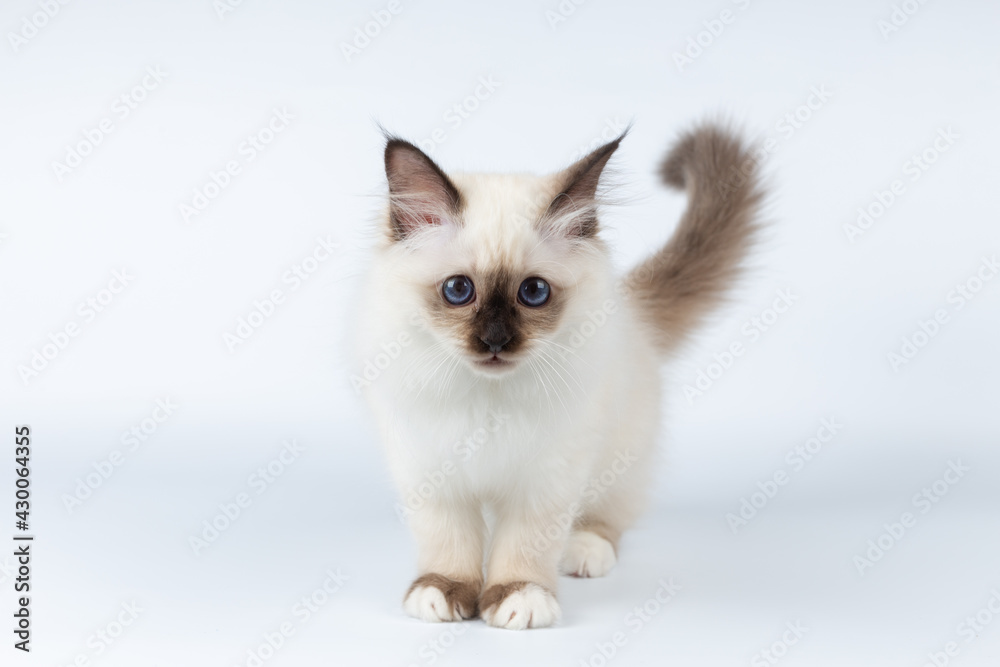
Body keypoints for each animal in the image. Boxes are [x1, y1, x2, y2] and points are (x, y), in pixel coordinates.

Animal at [356, 125, 760, 632]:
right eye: (458, 290)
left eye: (533, 292)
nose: (495, 341)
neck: (489, 399)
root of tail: (631, 309)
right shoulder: (431, 468)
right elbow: (450, 541)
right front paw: (442, 592)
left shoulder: (546, 477)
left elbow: (524, 546)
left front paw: (519, 599)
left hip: (618, 456)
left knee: (608, 515)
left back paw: (584, 551)